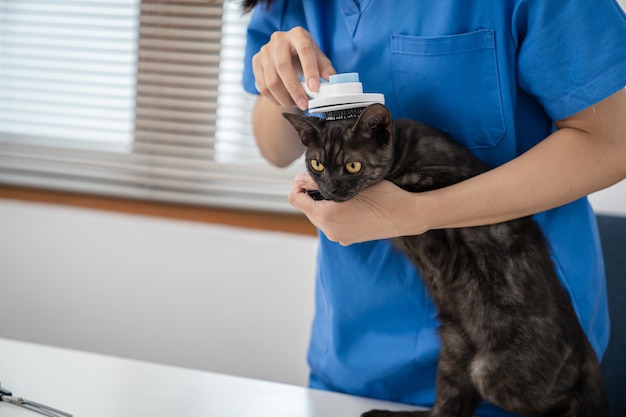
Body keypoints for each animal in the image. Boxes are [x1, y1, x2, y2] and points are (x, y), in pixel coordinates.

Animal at [284, 103, 608, 416]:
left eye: (352, 166)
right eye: (317, 164)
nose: (330, 189)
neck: (404, 150)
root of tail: (584, 345)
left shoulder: (446, 190)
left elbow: (420, 190)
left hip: (491, 374)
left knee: (569, 400)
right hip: (456, 347)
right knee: (446, 410)